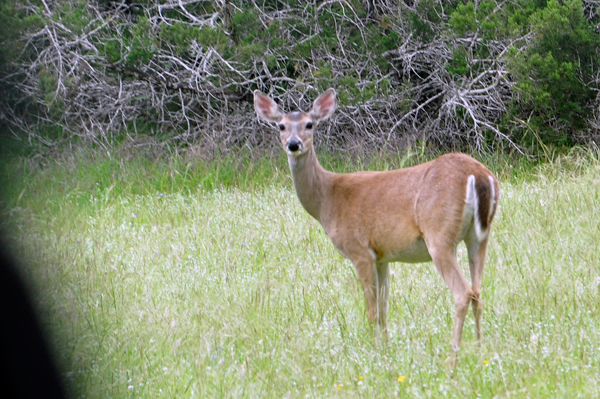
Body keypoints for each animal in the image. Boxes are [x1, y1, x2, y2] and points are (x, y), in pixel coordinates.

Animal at [254, 88, 502, 360]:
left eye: (310, 124)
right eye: (281, 126)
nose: (293, 144)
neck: (327, 199)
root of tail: (480, 176)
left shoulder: (359, 250)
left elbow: (372, 311)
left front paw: (373, 353)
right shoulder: (382, 256)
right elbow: (384, 309)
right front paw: (385, 348)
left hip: (439, 235)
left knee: (463, 293)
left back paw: (453, 358)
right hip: (479, 236)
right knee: (478, 292)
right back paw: (479, 350)